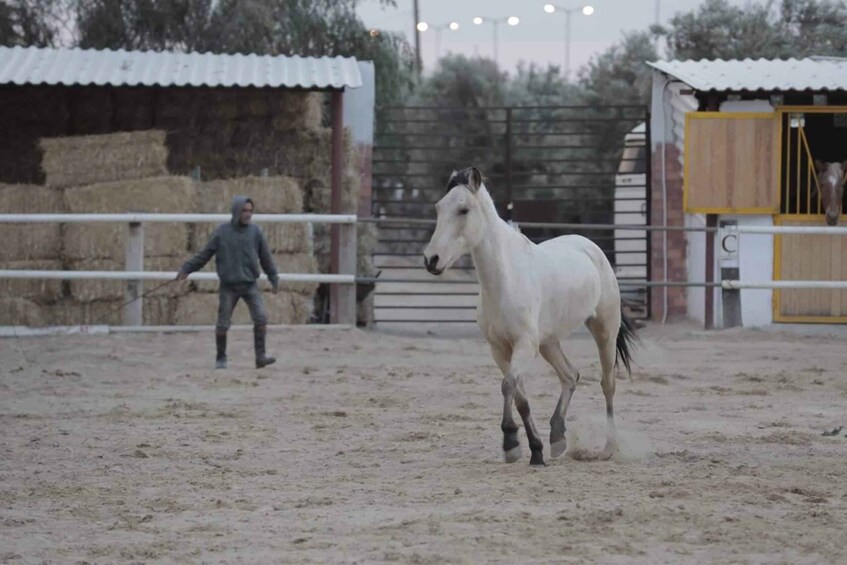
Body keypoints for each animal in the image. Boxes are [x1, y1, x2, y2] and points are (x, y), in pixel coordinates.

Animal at [424, 167, 636, 468]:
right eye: (439, 207)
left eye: (463, 209)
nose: (432, 260)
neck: (506, 280)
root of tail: (591, 247)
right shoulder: (500, 349)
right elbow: (519, 396)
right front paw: (534, 450)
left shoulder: (524, 345)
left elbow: (508, 387)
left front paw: (511, 443)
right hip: (549, 343)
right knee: (570, 376)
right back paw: (557, 438)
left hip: (604, 330)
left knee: (607, 384)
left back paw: (608, 448)